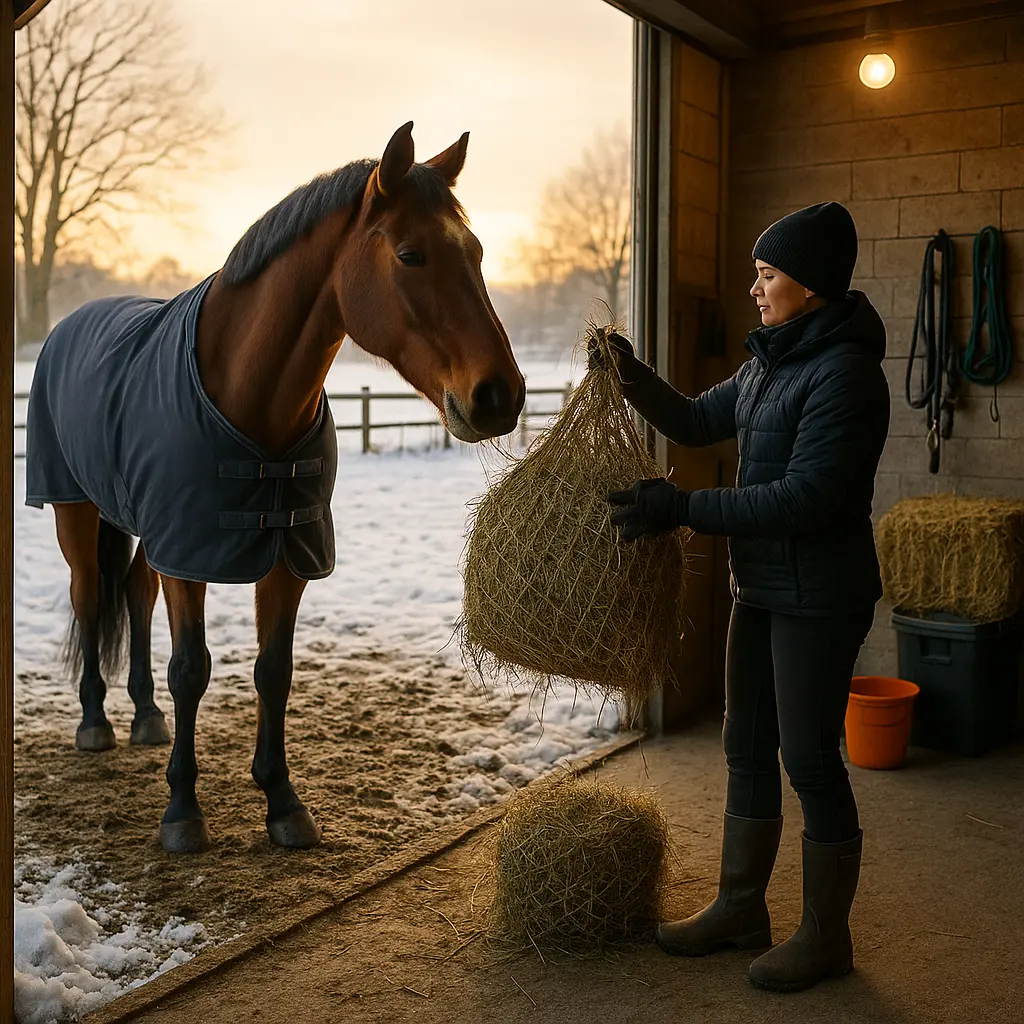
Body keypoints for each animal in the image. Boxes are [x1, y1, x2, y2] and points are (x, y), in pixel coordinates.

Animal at [25, 122, 526, 855]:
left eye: (478, 253)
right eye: (411, 254)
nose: (500, 396)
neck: (245, 392)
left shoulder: (285, 553)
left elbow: (274, 671)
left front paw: (282, 800)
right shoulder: (191, 555)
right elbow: (192, 669)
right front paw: (182, 811)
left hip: (146, 528)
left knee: (135, 595)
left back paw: (144, 715)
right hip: (75, 512)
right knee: (91, 599)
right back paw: (95, 721)